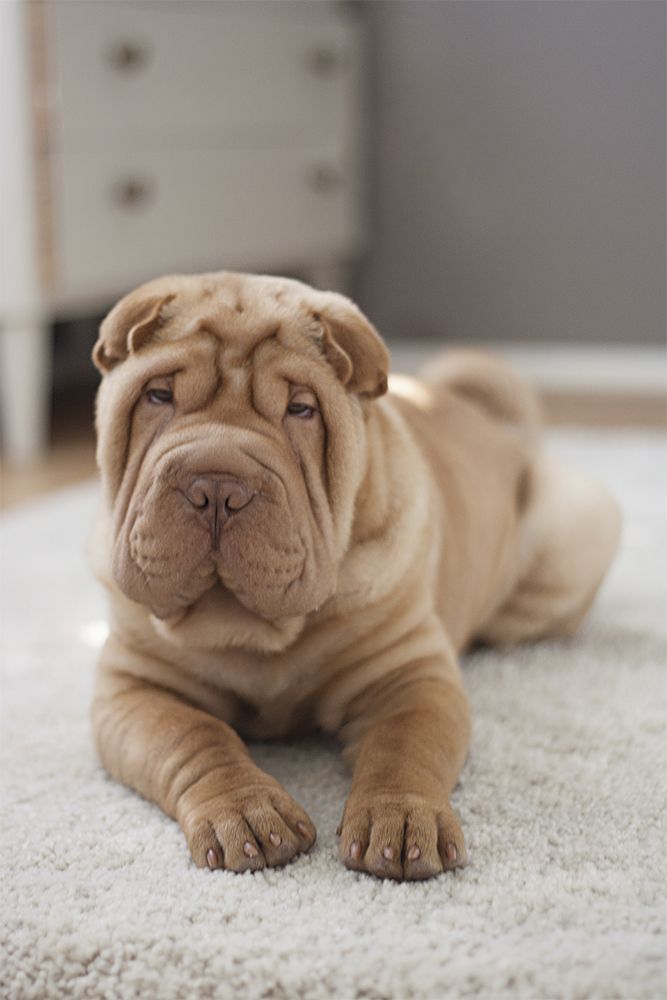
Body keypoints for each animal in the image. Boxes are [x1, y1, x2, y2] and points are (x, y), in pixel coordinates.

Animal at [90, 270, 620, 880]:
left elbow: (403, 746)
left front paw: (402, 823)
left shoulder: (409, 675)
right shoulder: (134, 687)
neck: (253, 628)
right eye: (158, 397)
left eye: (301, 410)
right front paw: (247, 816)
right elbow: (194, 735)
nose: (217, 489)